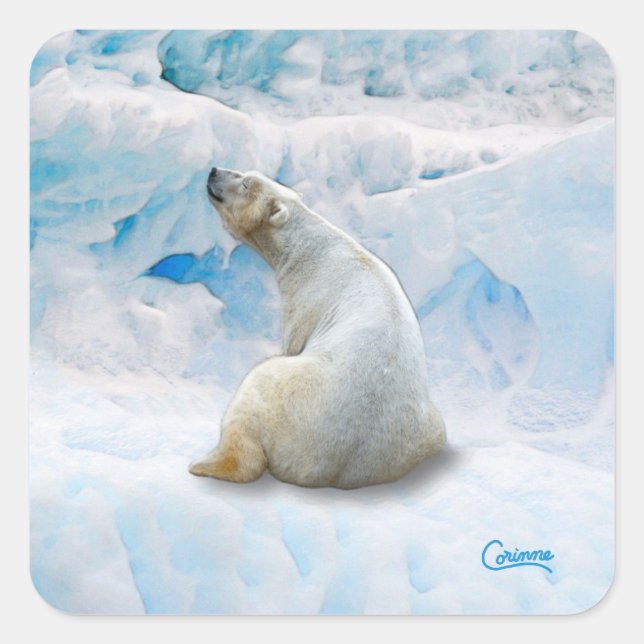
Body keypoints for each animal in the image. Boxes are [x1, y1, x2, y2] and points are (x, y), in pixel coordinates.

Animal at [189, 167, 446, 488]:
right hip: (424, 429)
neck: (312, 246)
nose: (213, 171)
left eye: (245, 183)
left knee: (254, 394)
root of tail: (332, 470)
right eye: (242, 173)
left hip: (286, 400)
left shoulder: (307, 298)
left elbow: (292, 341)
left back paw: (205, 464)